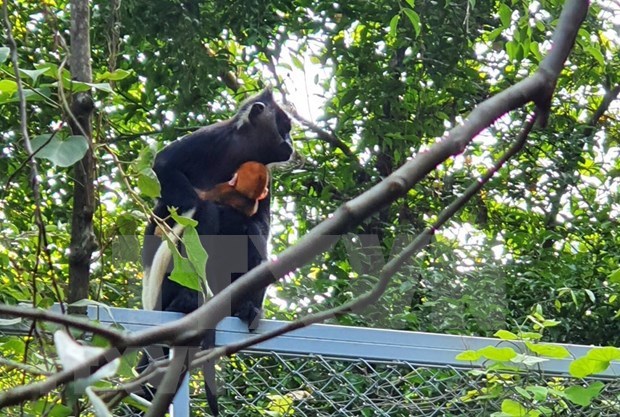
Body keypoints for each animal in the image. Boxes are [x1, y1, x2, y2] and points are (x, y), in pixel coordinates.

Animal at [140, 88, 294, 416]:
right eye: (284, 128)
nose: (290, 144)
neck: (237, 153)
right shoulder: (210, 139)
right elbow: (165, 166)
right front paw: (193, 201)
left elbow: (259, 228)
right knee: (202, 220)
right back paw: (187, 301)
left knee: (248, 235)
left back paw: (245, 308)